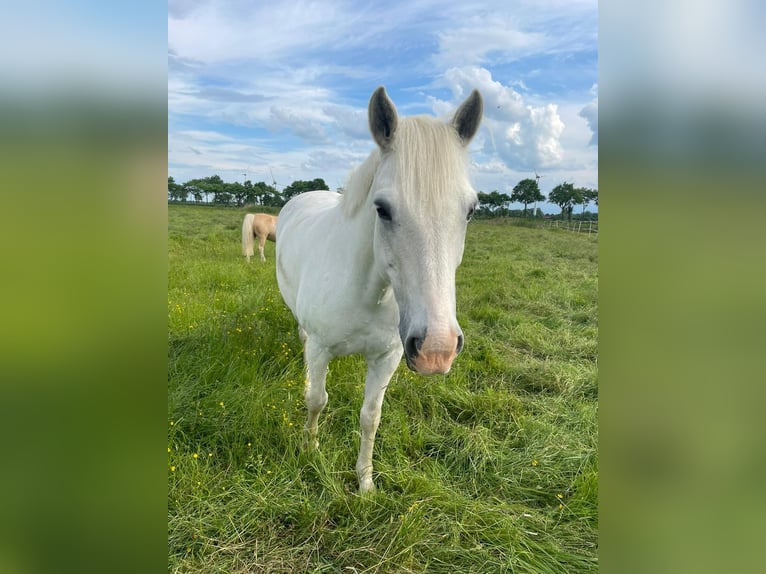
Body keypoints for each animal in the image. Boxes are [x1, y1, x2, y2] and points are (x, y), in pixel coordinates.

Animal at [276, 85, 484, 496]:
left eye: (470, 210)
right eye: (382, 209)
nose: (437, 349)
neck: (366, 291)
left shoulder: (388, 357)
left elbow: (370, 416)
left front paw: (365, 482)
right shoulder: (321, 349)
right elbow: (316, 400)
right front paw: (310, 449)